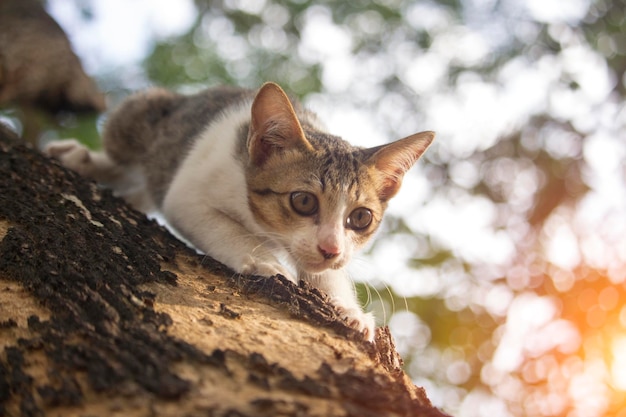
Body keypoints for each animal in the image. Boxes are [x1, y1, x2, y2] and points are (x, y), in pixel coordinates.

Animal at [45, 83, 434, 340]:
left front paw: (347, 307)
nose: (331, 248)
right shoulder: (189, 194)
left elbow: (327, 273)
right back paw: (85, 160)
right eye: (303, 201)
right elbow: (218, 224)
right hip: (141, 114)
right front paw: (263, 261)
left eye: (361, 218)